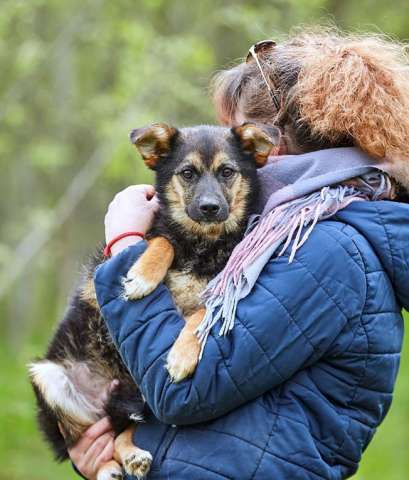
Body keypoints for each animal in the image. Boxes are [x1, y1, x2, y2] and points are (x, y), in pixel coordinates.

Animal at [27, 123, 278, 480]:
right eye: (187, 173)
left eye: (227, 172)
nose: (209, 207)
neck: (201, 243)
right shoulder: (138, 246)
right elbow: (162, 240)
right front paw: (143, 276)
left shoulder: (225, 288)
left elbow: (201, 314)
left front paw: (182, 357)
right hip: (48, 377)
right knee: (90, 437)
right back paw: (110, 467)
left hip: (141, 400)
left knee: (120, 432)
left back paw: (130, 457)